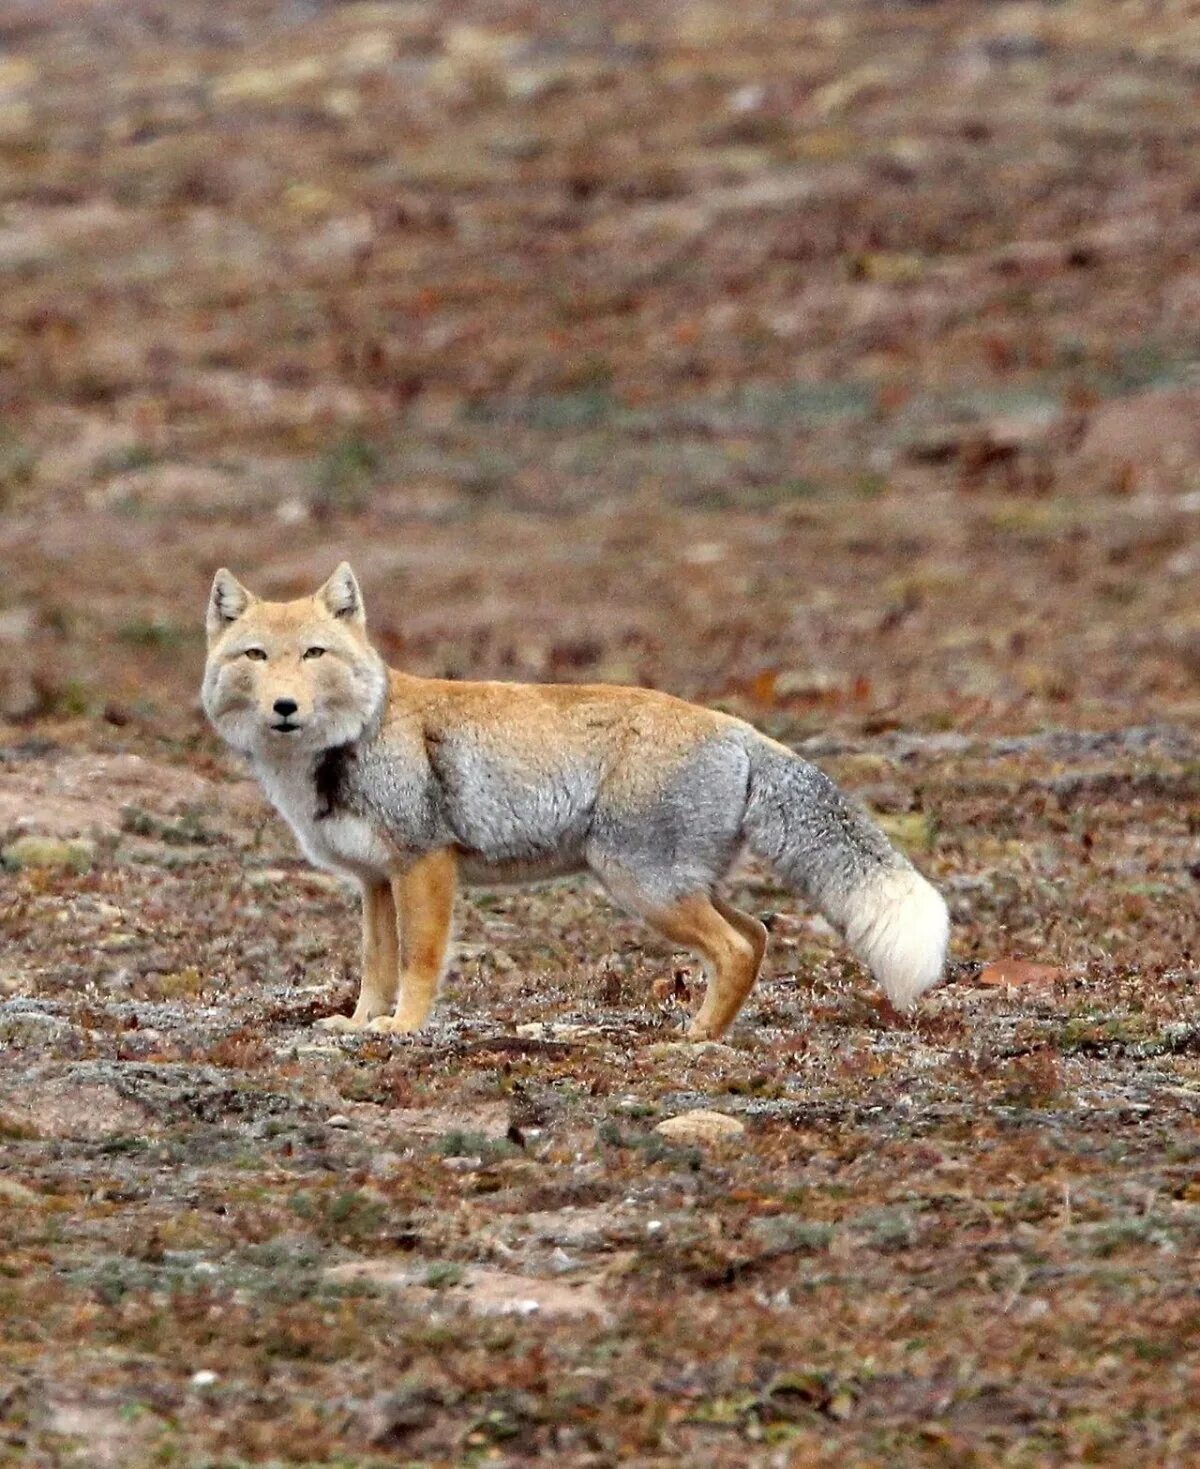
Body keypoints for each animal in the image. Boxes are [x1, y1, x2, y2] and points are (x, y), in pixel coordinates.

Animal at [201, 555, 951, 1040]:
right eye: (257, 656)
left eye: (315, 654)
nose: (285, 708)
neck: (352, 740)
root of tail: (740, 728)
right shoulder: (375, 881)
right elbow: (375, 965)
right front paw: (358, 1024)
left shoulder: (425, 865)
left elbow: (417, 962)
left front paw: (404, 1028)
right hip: (675, 885)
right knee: (759, 933)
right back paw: (707, 1030)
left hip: (643, 885)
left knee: (736, 948)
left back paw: (691, 1040)